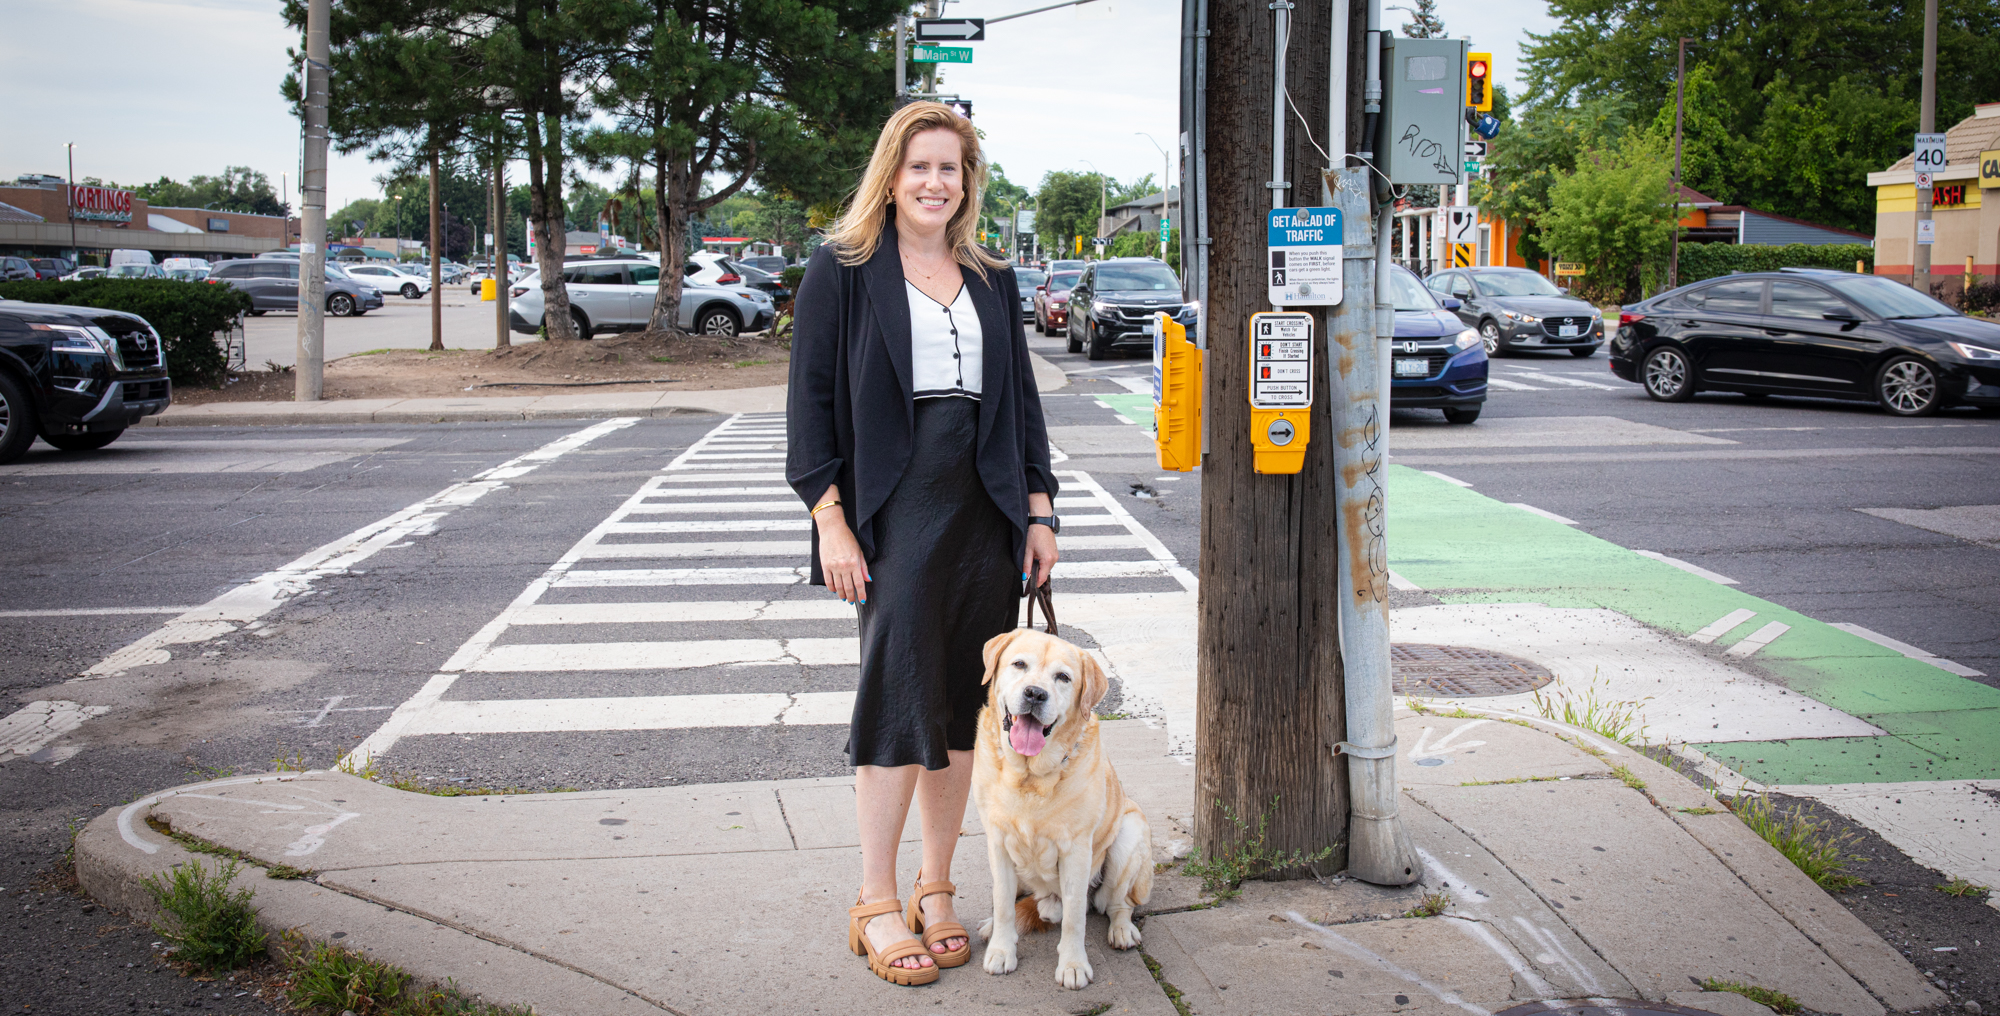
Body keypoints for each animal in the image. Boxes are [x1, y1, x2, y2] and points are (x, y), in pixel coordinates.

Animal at [972, 632, 1152, 988]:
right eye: (1019, 664)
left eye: (1063, 677)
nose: (1035, 693)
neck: (1030, 776)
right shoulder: (997, 842)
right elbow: (1003, 904)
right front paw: (1001, 949)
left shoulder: (1076, 851)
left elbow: (1073, 917)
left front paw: (1073, 964)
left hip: (1129, 835)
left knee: (1117, 903)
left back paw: (1121, 929)